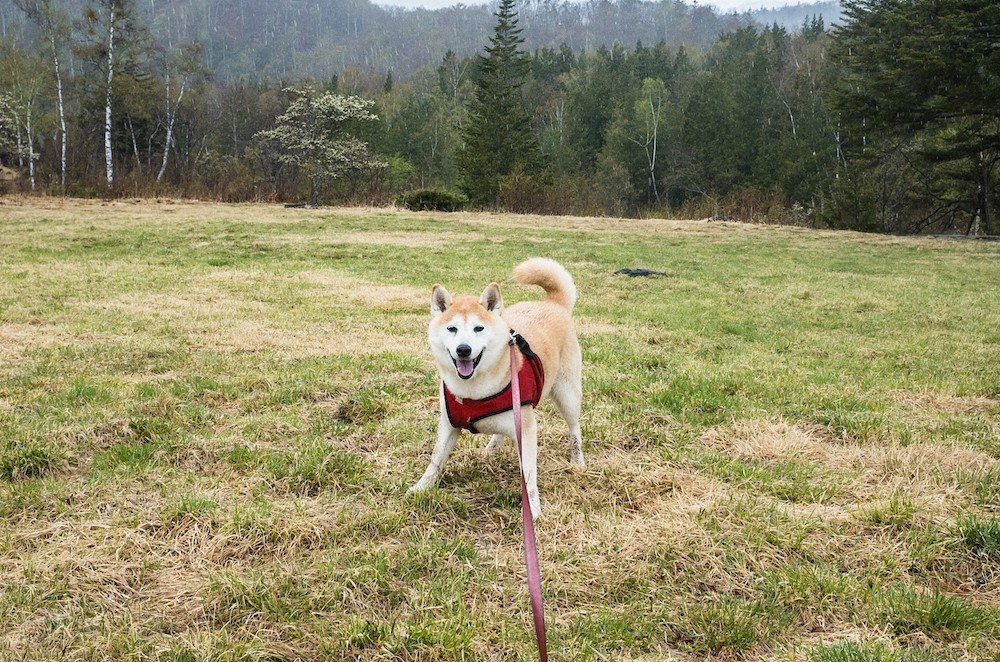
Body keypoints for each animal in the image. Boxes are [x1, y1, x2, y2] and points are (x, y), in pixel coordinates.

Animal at [408, 256, 584, 520]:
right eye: (452, 329)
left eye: (478, 328)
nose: (463, 349)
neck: (472, 390)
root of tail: (553, 303)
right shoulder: (449, 425)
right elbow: (436, 460)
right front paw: (421, 487)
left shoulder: (527, 431)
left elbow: (528, 477)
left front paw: (533, 510)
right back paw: (492, 447)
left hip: (567, 396)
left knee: (575, 429)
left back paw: (578, 461)